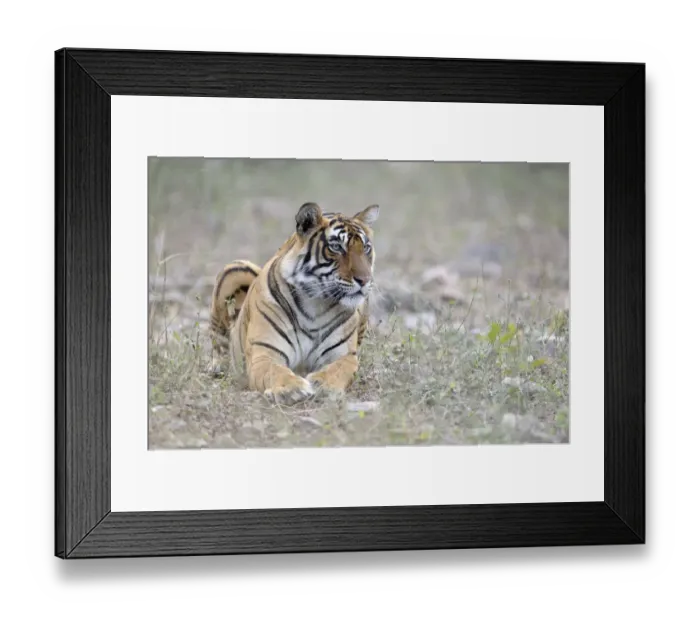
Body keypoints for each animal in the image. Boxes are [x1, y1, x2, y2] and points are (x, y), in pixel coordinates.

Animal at [208, 202, 379, 405]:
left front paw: (323, 385)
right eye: (337, 247)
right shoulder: (264, 353)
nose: (365, 280)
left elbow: (336, 371)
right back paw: (218, 367)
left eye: (366, 248)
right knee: (219, 343)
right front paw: (291, 389)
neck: (317, 304)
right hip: (235, 269)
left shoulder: (345, 356)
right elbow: (275, 371)